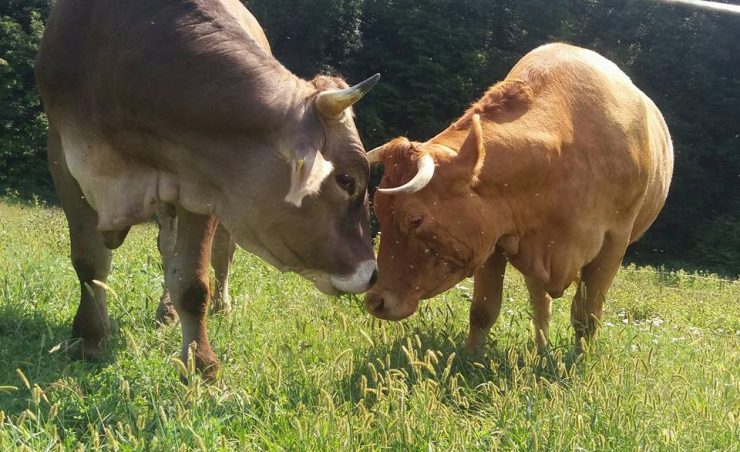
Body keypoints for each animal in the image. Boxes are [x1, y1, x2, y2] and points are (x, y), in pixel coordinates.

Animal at [34, 0, 382, 378]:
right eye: (346, 180)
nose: (372, 273)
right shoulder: (63, 156)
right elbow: (89, 262)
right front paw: (89, 339)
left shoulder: (204, 181)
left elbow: (192, 281)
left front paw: (199, 362)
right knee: (165, 246)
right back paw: (165, 312)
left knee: (221, 254)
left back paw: (219, 305)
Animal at [368, 44, 672, 352]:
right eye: (377, 211)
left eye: (415, 220)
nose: (375, 301)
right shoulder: (495, 241)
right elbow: (483, 310)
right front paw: (471, 356)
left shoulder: (614, 242)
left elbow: (586, 316)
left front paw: (579, 360)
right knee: (541, 304)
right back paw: (541, 350)